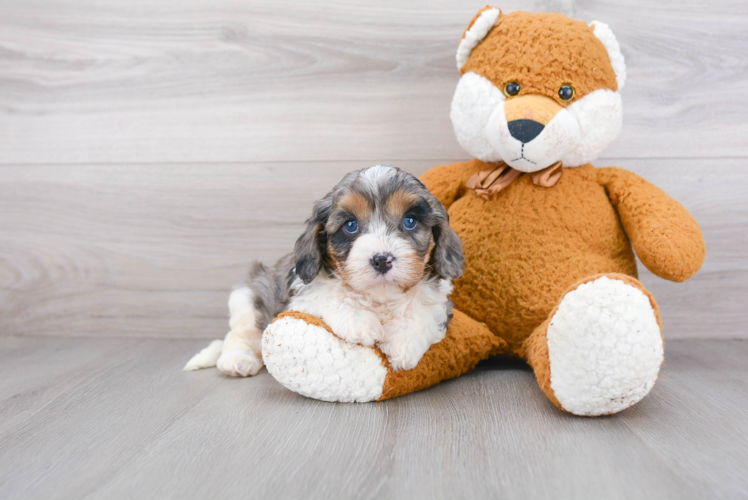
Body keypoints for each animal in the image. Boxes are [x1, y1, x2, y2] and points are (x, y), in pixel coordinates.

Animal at [184, 164, 464, 376]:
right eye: (350, 225)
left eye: (410, 221)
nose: (382, 259)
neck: (379, 298)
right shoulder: (300, 293)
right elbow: (332, 293)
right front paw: (360, 321)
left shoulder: (440, 301)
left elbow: (423, 308)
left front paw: (403, 343)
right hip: (247, 297)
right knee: (239, 334)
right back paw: (236, 360)